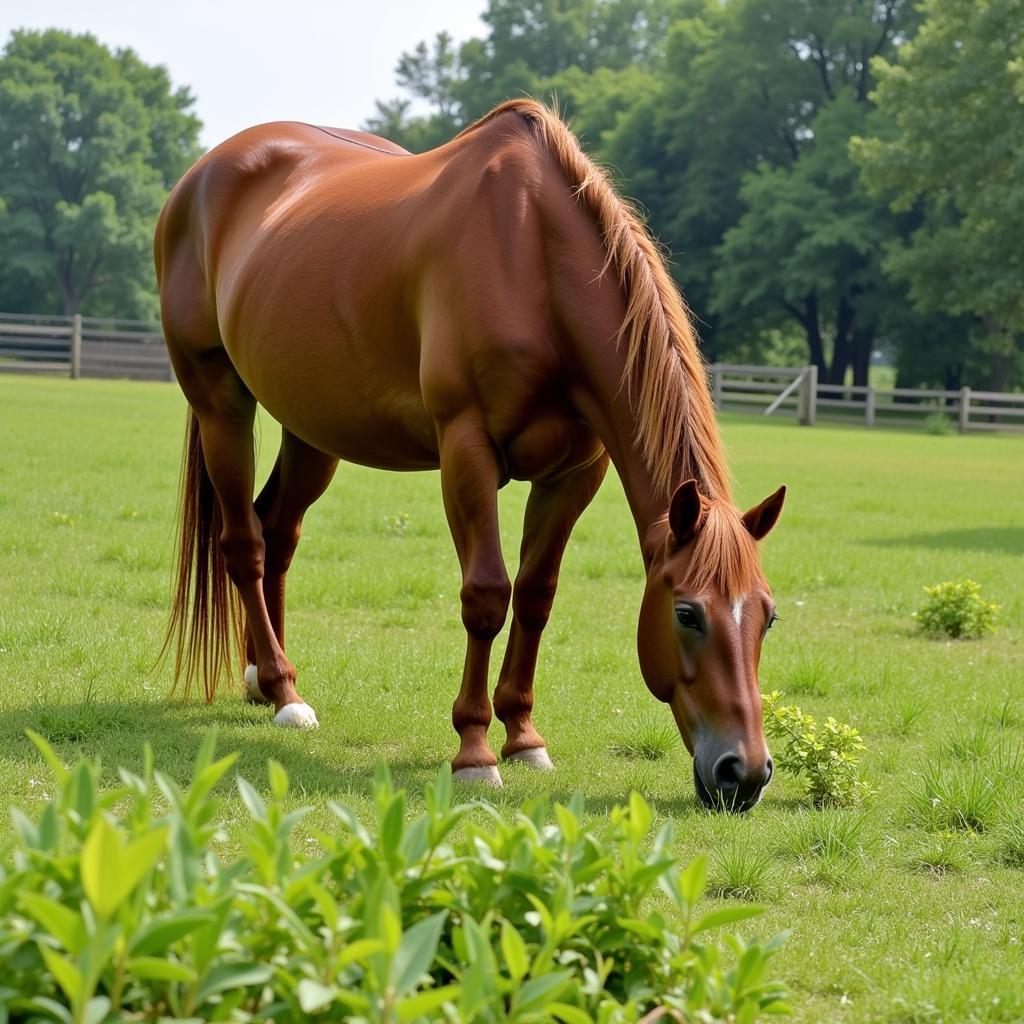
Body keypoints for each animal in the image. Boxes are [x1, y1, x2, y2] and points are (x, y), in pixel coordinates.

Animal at [155, 99, 786, 811]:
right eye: (687, 613)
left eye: (768, 616)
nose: (744, 773)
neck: (533, 260)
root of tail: (201, 177)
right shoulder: (467, 450)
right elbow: (487, 595)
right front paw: (475, 751)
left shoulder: (576, 472)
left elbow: (536, 596)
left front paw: (525, 737)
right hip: (221, 406)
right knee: (245, 545)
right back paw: (287, 693)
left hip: (311, 429)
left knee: (277, 531)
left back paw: (266, 680)